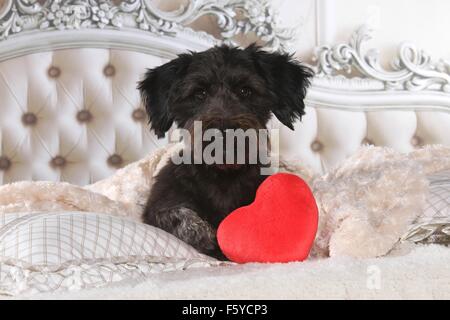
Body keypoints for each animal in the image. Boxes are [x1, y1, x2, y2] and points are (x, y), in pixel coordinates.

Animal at [138, 45, 312, 258]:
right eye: (200, 93)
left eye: (246, 90)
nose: (224, 131)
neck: (223, 176)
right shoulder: (157, 205)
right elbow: (174, 214)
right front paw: (201, 232)